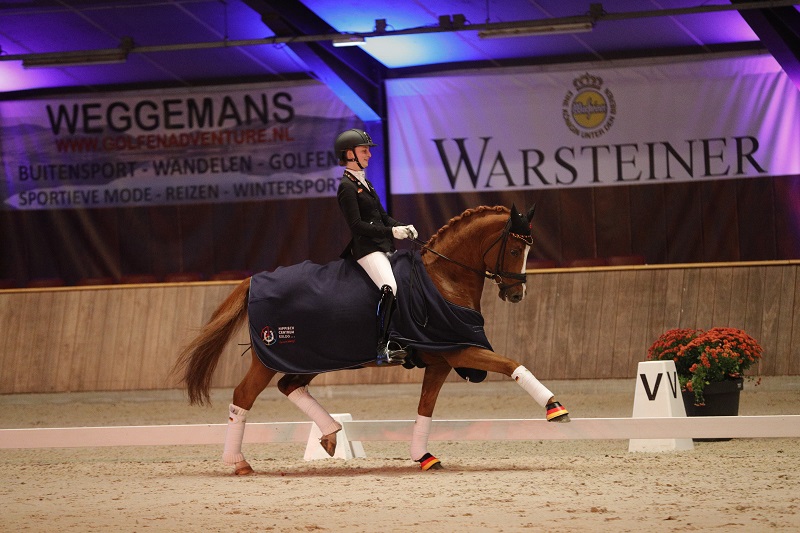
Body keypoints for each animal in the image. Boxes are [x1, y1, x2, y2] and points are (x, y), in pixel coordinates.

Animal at [174, 205, 568, 474]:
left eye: (529, 251)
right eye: (515, 250)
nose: (515, 294)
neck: (444, 279)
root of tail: (254, 280)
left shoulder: (441, 360)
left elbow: (425, 408)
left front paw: (423, 456)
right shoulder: (459, 351)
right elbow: (513, 363)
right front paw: (555, 408)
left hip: (314, 357)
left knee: (290, 386)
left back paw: (331, 433)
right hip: (270, 358)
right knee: (244, 396)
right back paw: (239, 462)